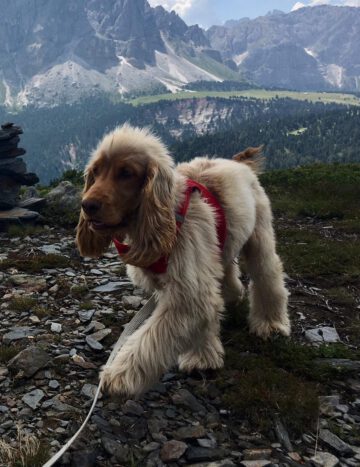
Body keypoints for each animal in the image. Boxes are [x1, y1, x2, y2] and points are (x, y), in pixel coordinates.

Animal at [76, 124, 290, 394]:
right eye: (95, 172)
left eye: (126, 173)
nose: (87, 205)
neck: (164, 219)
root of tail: (237, 162)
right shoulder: (184, 284)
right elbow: (201, 320)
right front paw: (203, 356)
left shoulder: (188, 289)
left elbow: (153, 338)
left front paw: (119, 375)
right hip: (222, 246)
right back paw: (232, 296)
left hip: (259, 235)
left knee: (267, 274)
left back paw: (270, 323)